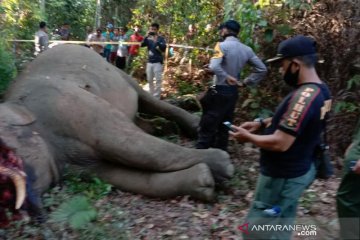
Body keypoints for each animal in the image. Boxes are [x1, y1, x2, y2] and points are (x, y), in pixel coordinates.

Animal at [0, 44, 235, 212]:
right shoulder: (72, 163)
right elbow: (121, 175)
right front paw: (205, 183)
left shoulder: (64, 103)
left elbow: (129, 144)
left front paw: (224, 165)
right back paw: (165, 128)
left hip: (117, 72)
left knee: (145, 99)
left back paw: (191, 126)